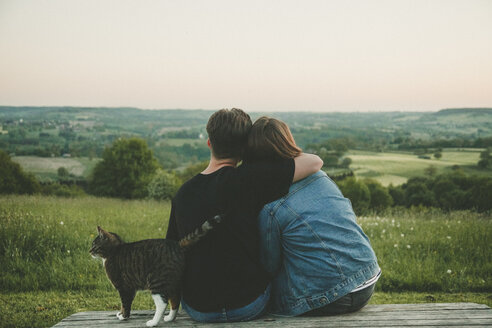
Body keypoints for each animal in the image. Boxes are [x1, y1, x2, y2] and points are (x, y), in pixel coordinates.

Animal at [90, 215, 223, 326]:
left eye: (94, 245)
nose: (89, 251)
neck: (115, 249)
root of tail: (177, 245)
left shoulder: (124, 288)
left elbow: (125, 304)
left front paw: (123, 316)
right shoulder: (129, 288)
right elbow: (124, 305)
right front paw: (121, 313)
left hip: (157, 282)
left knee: (162, 303)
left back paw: (153, 322)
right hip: (172, 282)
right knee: (175, 299)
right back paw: (169, 318)